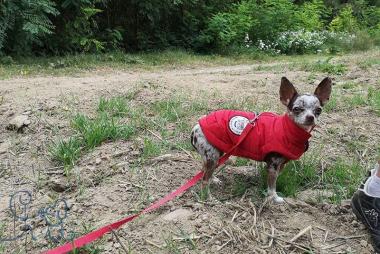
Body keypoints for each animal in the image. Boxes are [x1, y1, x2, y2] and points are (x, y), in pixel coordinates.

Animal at [191, 76, 332, 203]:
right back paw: (208, 198)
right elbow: (272, 186)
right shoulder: (273, 165)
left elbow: (274, 180)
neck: (287, 129)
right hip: (212, 156)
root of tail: (196, 128)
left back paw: (214, 179)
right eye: (296, 109)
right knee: (204, 180)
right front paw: (274, 198)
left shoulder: (280, 165)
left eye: (318, 110)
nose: (310, 117)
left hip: (215, 154)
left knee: (204, 169)